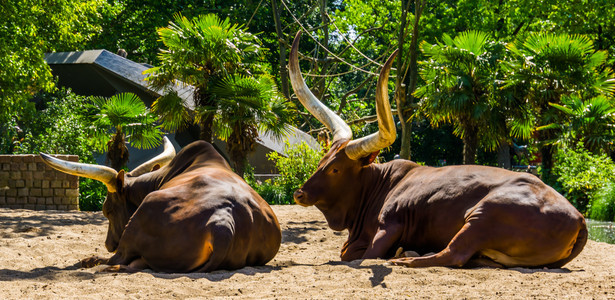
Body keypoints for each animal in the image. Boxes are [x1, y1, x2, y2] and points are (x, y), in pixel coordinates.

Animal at [42, 137, 282, 274]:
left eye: (107, 210)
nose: (108, 243)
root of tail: (223, 223)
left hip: (142, 216)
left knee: (117, 259)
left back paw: (90, 260)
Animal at [288, 31, 588, 268]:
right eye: (322, 161)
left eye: (336, 169)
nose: (299, 193)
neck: (377, 186)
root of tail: (579, 218)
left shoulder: (391, 224)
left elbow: (362, 255)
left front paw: (394, 252)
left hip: (483, 215)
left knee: (453, 254)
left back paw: (406, 257)